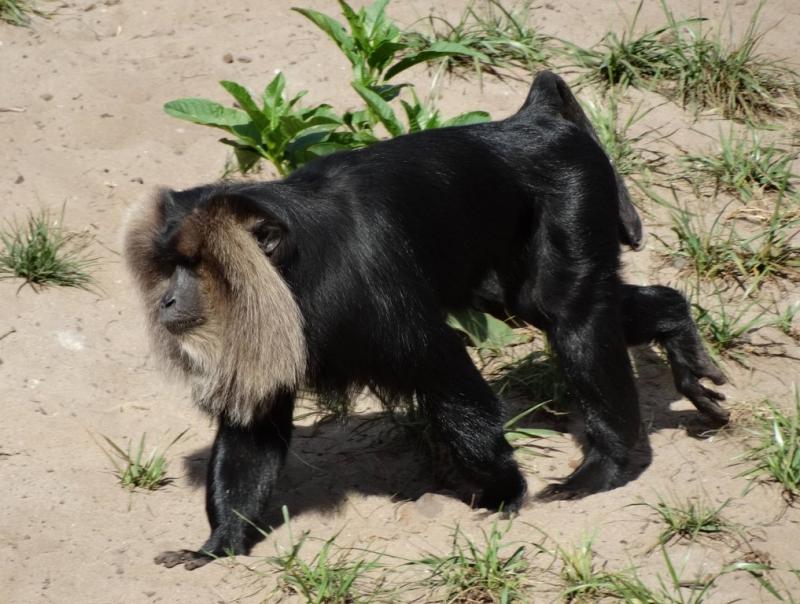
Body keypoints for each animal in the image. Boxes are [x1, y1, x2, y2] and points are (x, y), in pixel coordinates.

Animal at [124, 71, 726, 570]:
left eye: (199, 268)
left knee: (572, 317)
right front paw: (219, 544)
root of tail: (532, 124)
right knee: (541, 304)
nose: (167, 302)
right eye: (172, 266)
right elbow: (254, 430)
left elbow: (452, 383)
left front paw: (503, 492)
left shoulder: (375, 300)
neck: (297, 268)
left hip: (575, 196)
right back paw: (677, 326)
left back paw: (607, 468)